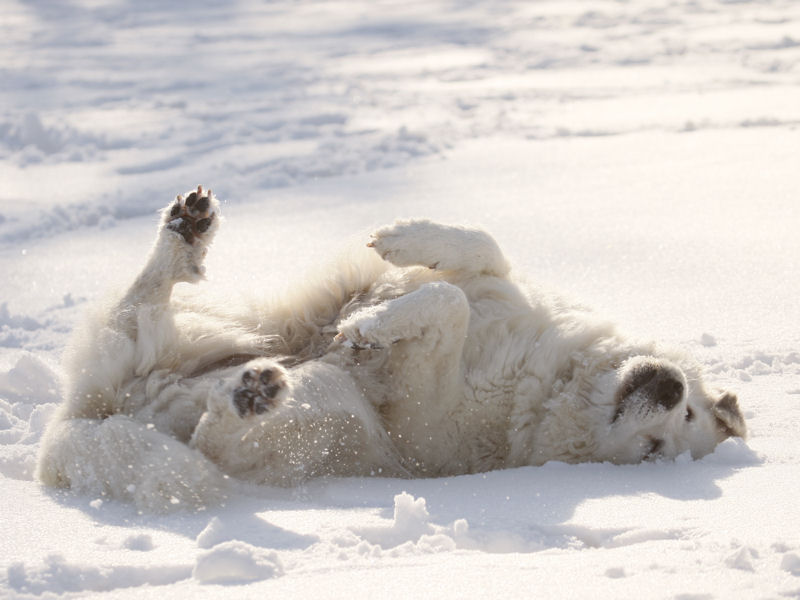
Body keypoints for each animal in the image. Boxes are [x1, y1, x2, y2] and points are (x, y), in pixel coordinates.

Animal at [34, 188, 748, 510]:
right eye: (683, 413)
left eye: (657, 449)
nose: (669, 387)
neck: (557, 385)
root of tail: (86, 426)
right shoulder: (500, 288)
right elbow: (478, 251)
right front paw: (406, 241)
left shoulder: (421, 405)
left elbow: (445, 305)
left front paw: (368, 326)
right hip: (181, 328)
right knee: (152, 290)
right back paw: (186, 230)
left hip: (320, 403)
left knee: (215, 441)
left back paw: (251, 393)